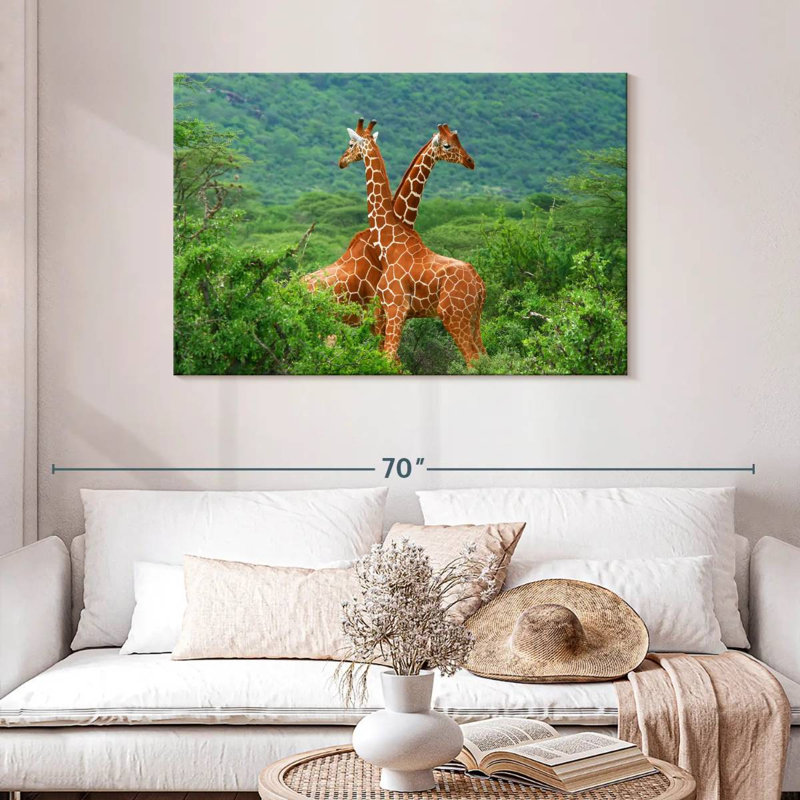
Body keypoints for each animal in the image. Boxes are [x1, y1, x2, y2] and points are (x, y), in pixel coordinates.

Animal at [339, 119, 486, 366]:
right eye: (448, 144)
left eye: (351, 144)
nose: (341, 161)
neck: (389, 240)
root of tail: (480, 285)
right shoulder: (388, 311)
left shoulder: (395, 307)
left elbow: (389, 359)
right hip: (474, 319)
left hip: (454, 315)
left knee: (474, 360)